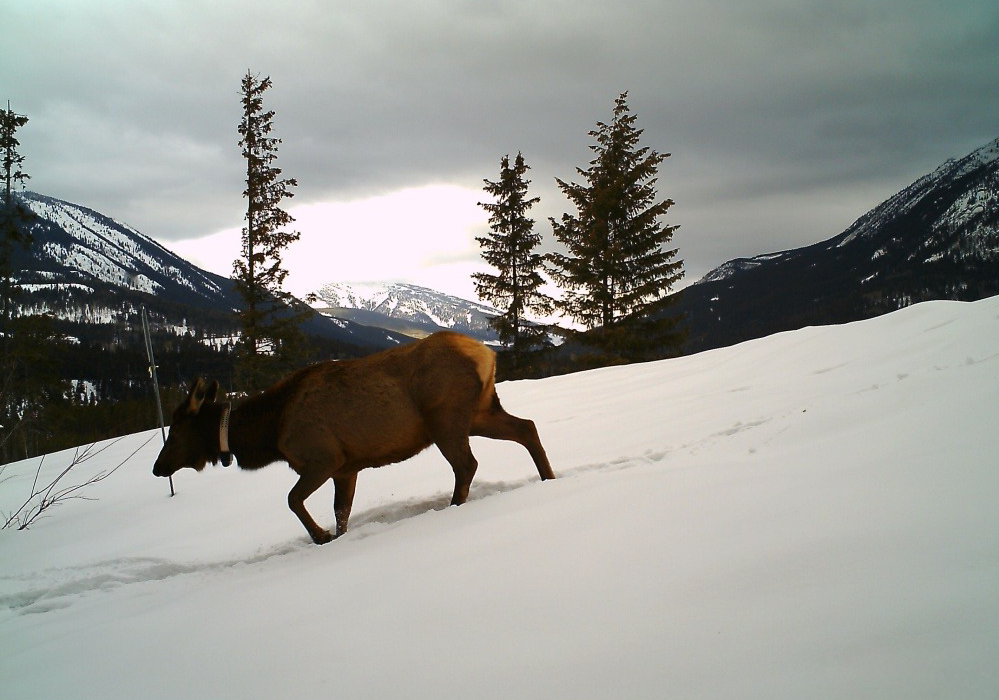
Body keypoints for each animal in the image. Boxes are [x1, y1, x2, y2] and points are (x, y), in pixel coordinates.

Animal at [152, 331, 555, 544]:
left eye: (177, 430)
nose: (157, 468)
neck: (271, 432)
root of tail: (484, 353)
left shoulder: (322, 458)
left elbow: (292, 500)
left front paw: (321, 537)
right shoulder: (347, 467)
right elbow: (341, 511)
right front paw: (337, 536)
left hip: (446, 418)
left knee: (467, 463)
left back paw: (454, 506)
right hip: (479, 413)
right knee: (527, 427)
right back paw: (549, 479)